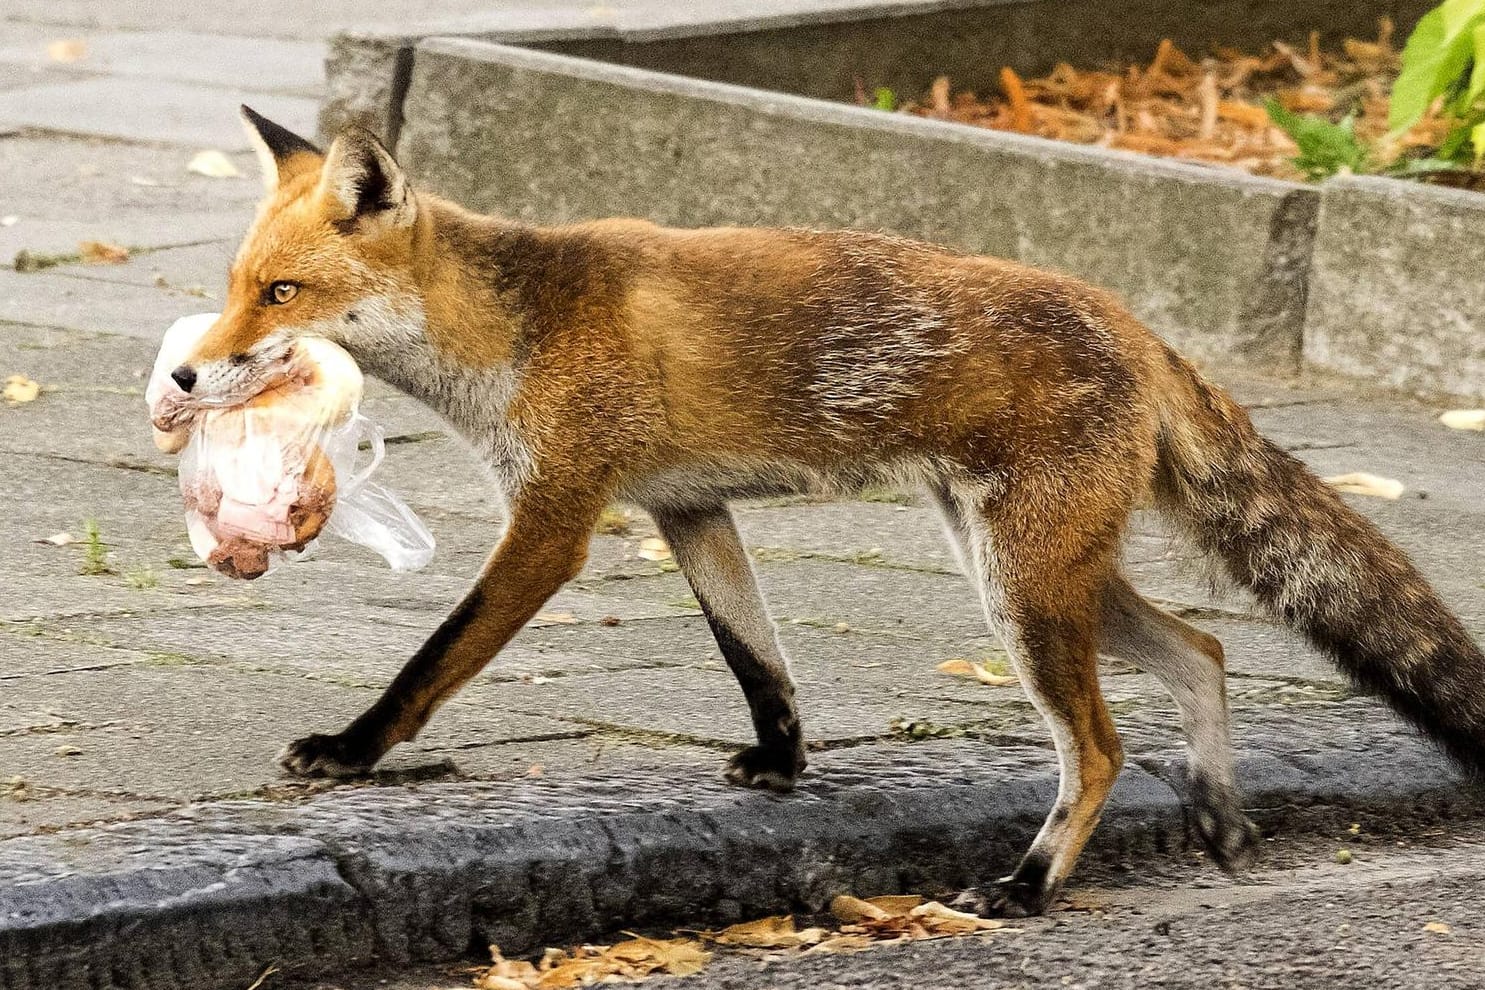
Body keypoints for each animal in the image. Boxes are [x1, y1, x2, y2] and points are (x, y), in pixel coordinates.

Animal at [168, 104, 1485, 920]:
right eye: (235, 286)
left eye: (281, 293)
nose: (185, 376)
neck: (515, 328)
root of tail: (1129, 319)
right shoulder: (691, 511)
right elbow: (758, 659)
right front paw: (784, 761)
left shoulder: (555, 519)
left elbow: (432, 663)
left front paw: (351, 752)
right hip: (1039, 576)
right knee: (1203, 649)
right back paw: (1217, 818)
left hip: (1022, 590)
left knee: (1103, 745)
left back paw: (1029, 887)